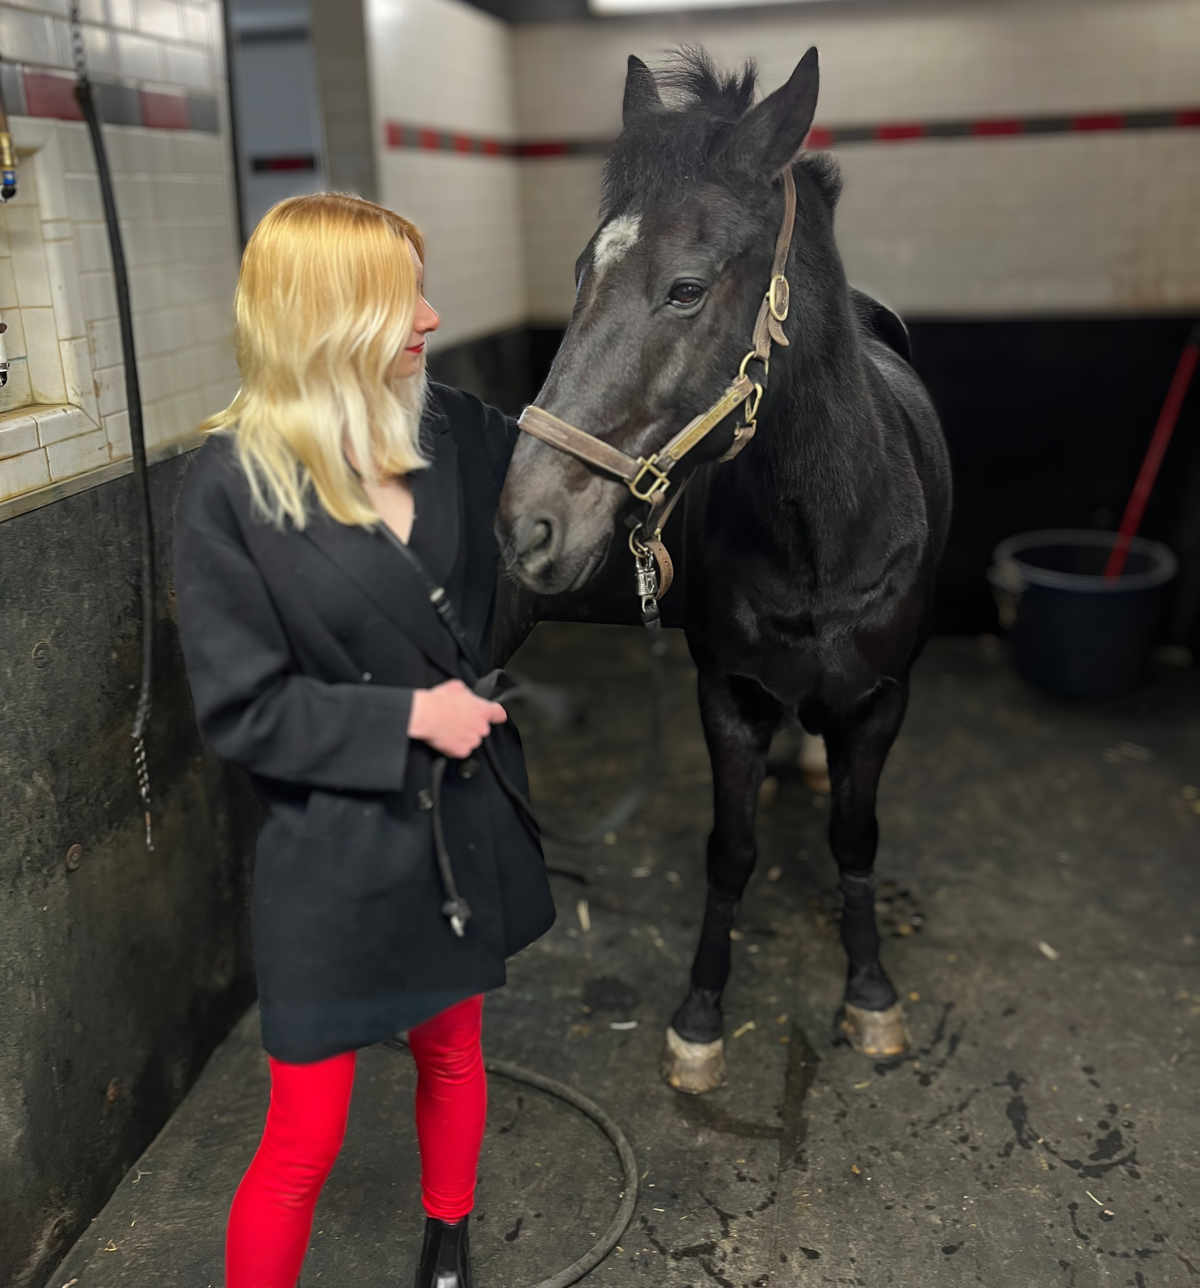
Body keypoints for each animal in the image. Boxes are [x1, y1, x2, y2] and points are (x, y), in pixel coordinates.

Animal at [495, 46, 951, 1094]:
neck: (824, 537)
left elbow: (856, 842)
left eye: (687, 289)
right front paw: (699, 1017)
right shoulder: (728, 697)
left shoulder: (883, 702)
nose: (528, 525)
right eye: (579, 273)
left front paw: (872, 996)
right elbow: (730, 852)